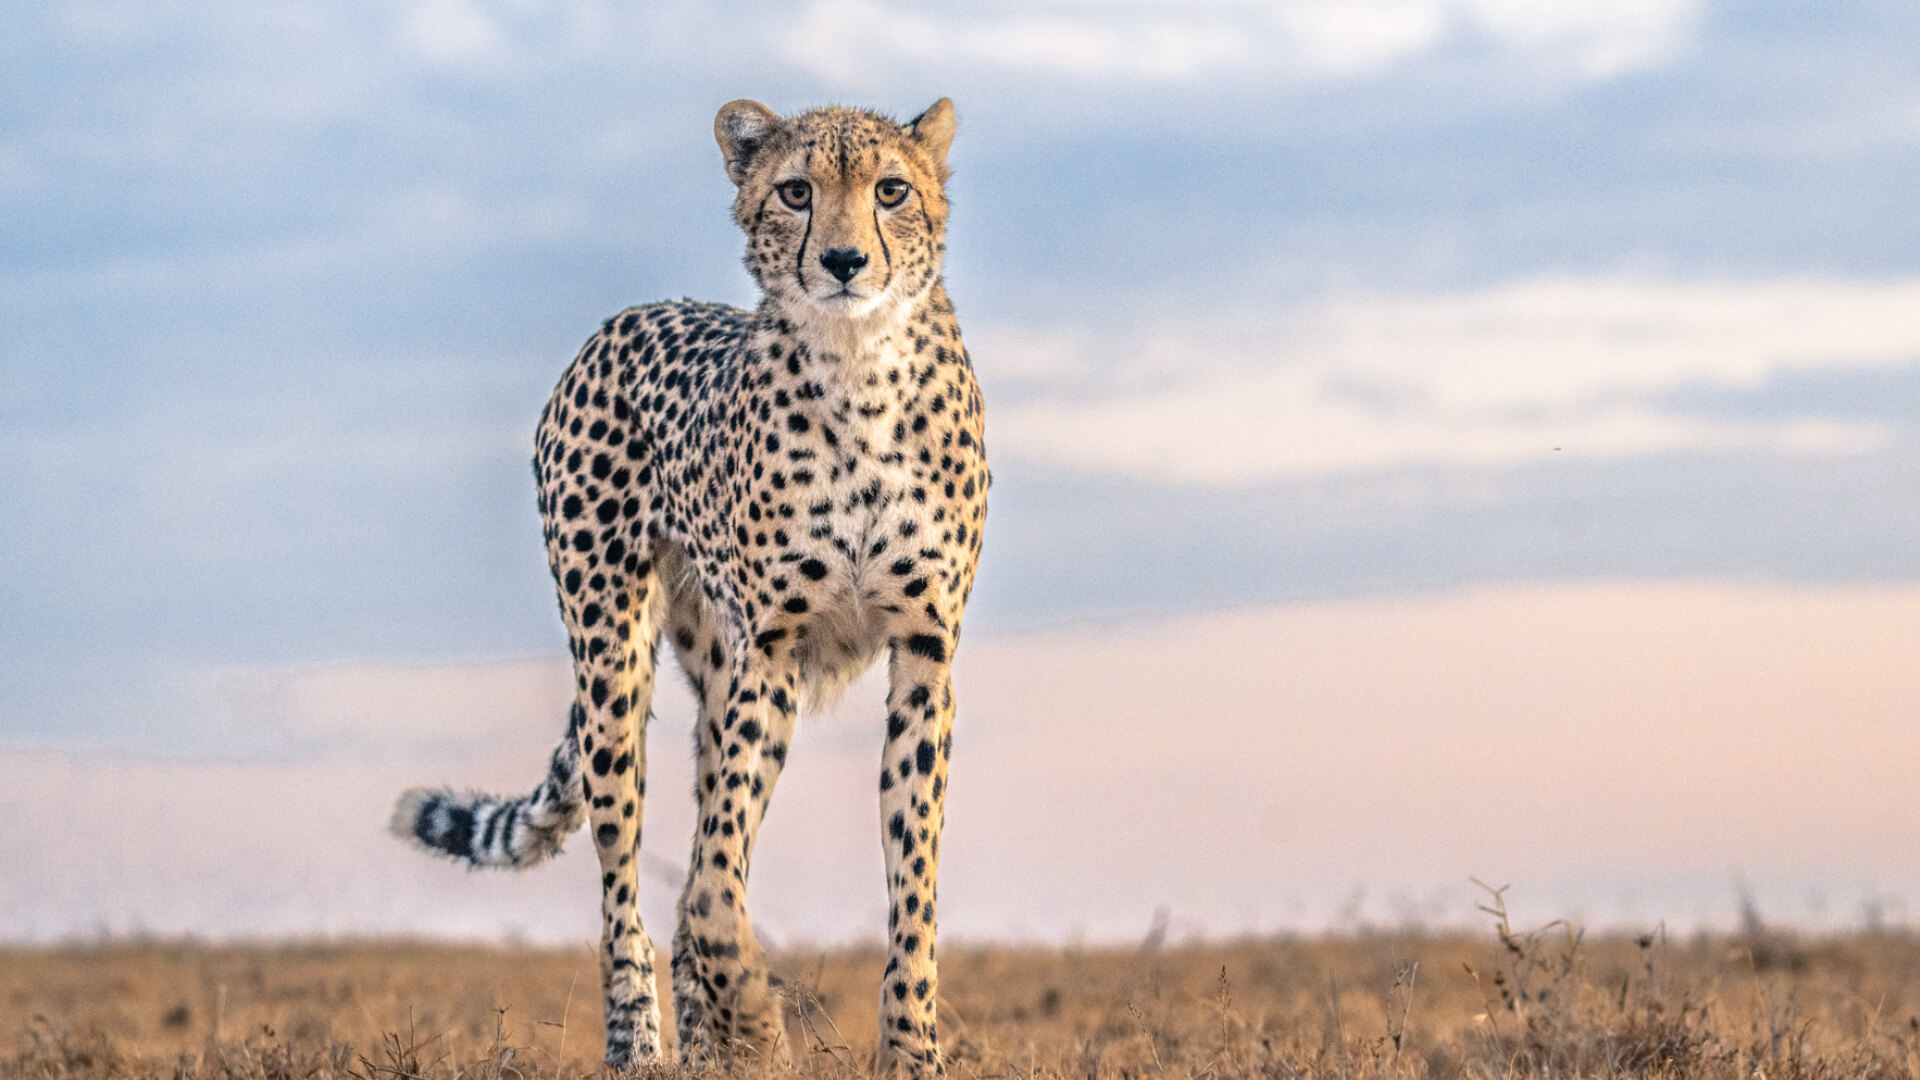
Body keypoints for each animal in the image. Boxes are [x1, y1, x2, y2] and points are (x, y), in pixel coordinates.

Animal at [391, 97, 986, 1079]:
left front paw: (909, 1049)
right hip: (613, 666)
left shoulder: (925, 653)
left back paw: (706, 1044)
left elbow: (914, 880)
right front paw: (760, 1028)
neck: (859, 367)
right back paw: (643, 1041)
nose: (844, 261)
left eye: (892, 191)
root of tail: (630, 314)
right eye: (796, 191)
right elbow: (710, 884)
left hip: (710, 675)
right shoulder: (769, 652)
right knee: (625, 885)